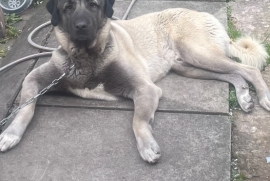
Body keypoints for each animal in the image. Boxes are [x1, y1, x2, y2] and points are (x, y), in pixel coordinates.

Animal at [0, 0, 270, 163]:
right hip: (189, 66)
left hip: (198, 53)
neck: (86, 57)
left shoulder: (145, 88)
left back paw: (264, 97)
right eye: (68, 7)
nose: (81, 26)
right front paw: (11, 133)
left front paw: (147, 146)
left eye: (94, 5)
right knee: (235, 74)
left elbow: (138, 120)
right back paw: (244, 97)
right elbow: (25, 108)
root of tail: (201, 13)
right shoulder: (34, 79)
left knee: (250, 70)